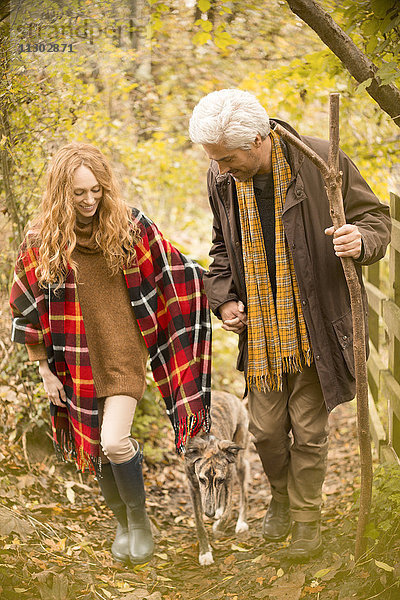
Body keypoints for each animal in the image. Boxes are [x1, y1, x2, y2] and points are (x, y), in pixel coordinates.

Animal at [184, 392, 250, 564]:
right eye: (201, 480)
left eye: (220, 480)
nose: (209, 513)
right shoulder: (193, 486)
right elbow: (199, 523)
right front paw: (205, 552)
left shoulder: (228, 478)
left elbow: (228, 511)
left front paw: (218, 528)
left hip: (239, 461)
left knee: (243, 489)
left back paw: (241, 522)